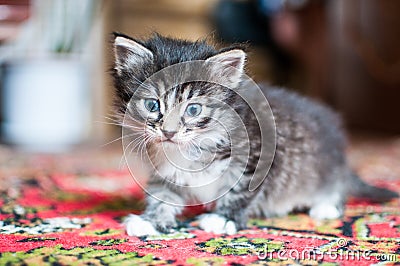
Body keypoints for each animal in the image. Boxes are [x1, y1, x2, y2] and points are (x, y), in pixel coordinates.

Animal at [111, 32, 398, 236]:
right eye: (152, 105)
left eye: (193, 109)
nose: (169, 132)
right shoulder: (166, 171)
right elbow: (162, 195)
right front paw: (151, 221)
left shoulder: (259, 158)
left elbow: (239, 193)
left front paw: (223, 218)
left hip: (324, 169)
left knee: (336, 187)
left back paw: (326, 206)